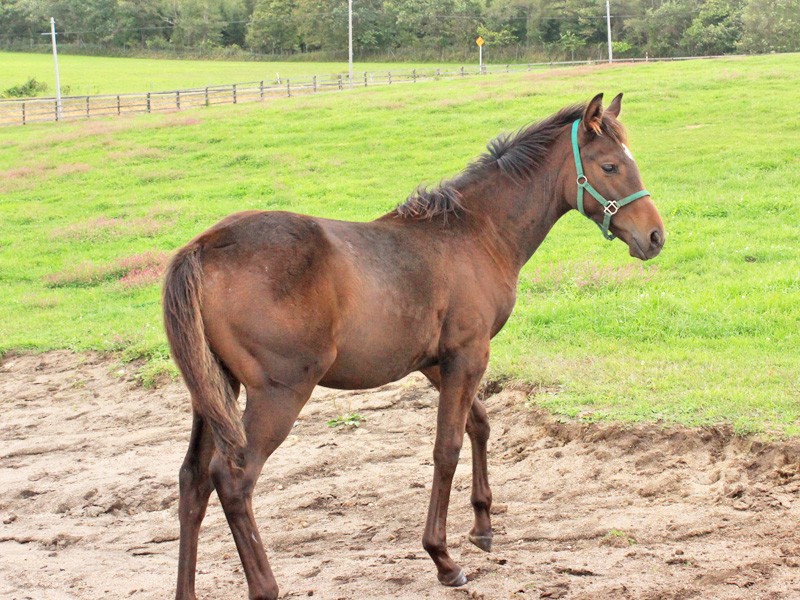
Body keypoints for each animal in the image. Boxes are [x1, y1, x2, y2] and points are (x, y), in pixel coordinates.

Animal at [161, 94, 664, 600]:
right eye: (610, 165)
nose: (655, 237)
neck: (475, 233)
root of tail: (203, 247)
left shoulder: (436, 362)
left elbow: (479, 424)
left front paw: (482, 525)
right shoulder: (468, 354)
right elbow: (447, 447)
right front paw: (443, 559)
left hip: (215, 393)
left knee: (193, 481)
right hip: (278, 394)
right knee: (233, 479)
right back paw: (265, 585)